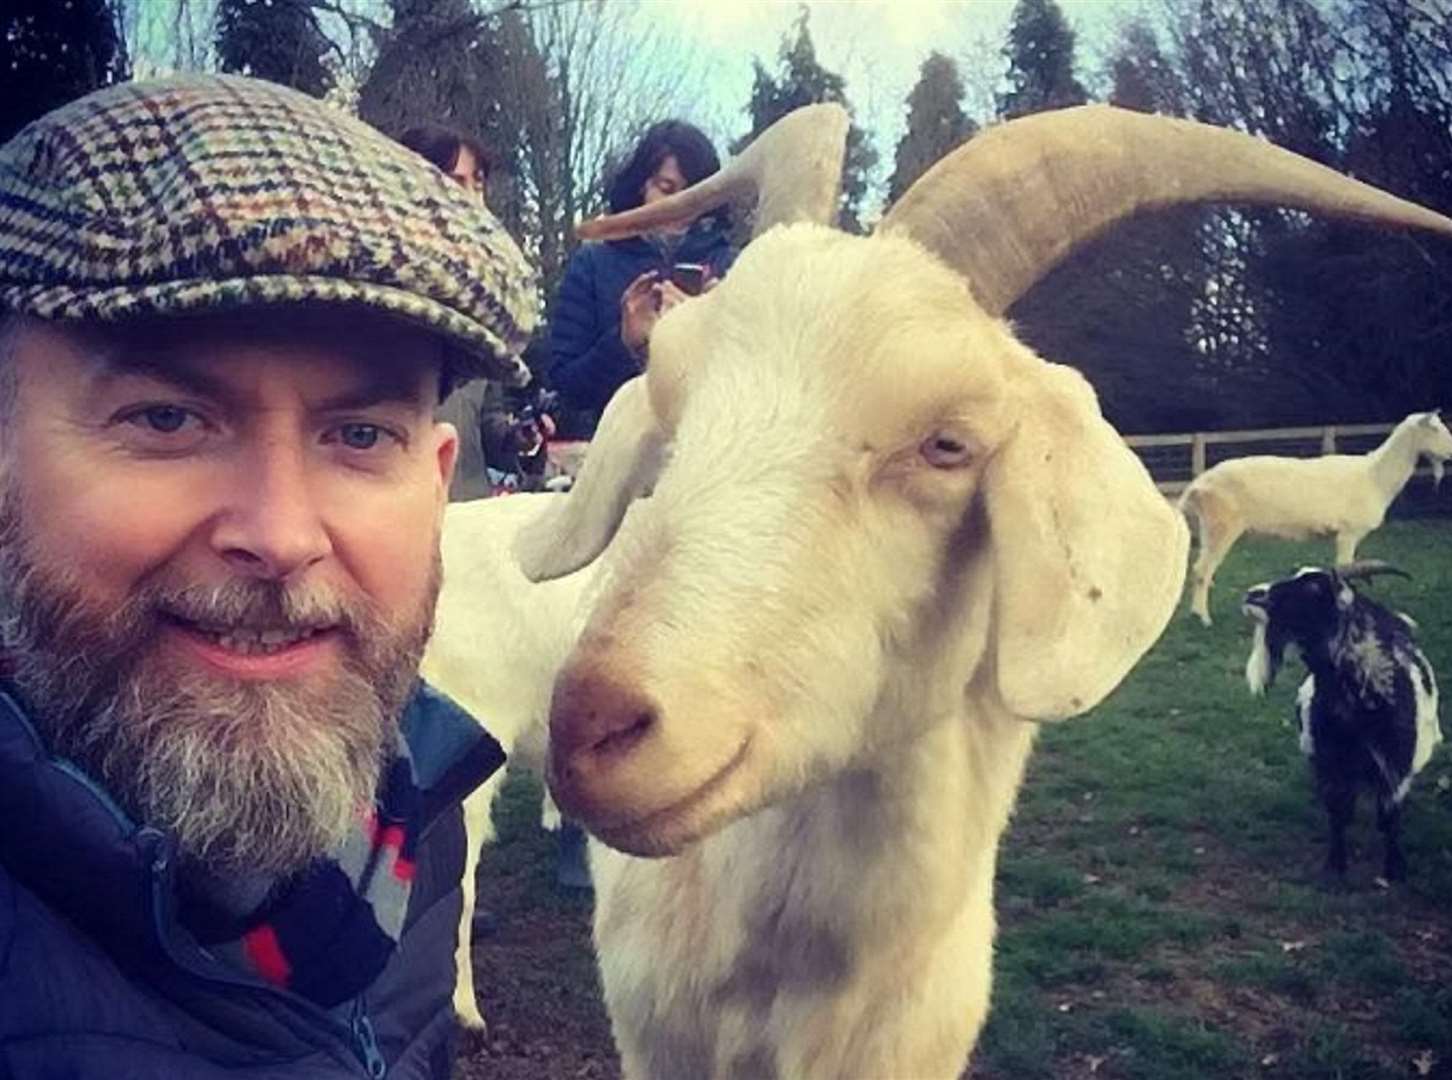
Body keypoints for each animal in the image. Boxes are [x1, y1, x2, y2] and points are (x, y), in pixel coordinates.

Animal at [1179, 415, 1452, 632]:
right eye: (1435, 430)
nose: (1451, 453)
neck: (1375, 476)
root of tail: (1198, 484)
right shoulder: (1348, 532)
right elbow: (1345, 569)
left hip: (1208, 526)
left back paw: (1196, 612)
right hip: (1222, 524)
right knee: (1202, 570)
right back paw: (1203, 619)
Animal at [1248, 560, 1440, 882]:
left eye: (1314, 587)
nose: (1254, 594)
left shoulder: (1396, 764)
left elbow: (1390, 817)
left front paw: (1394, 868)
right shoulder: (1329, 760)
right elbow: (1338, 811)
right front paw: (1335, 866)